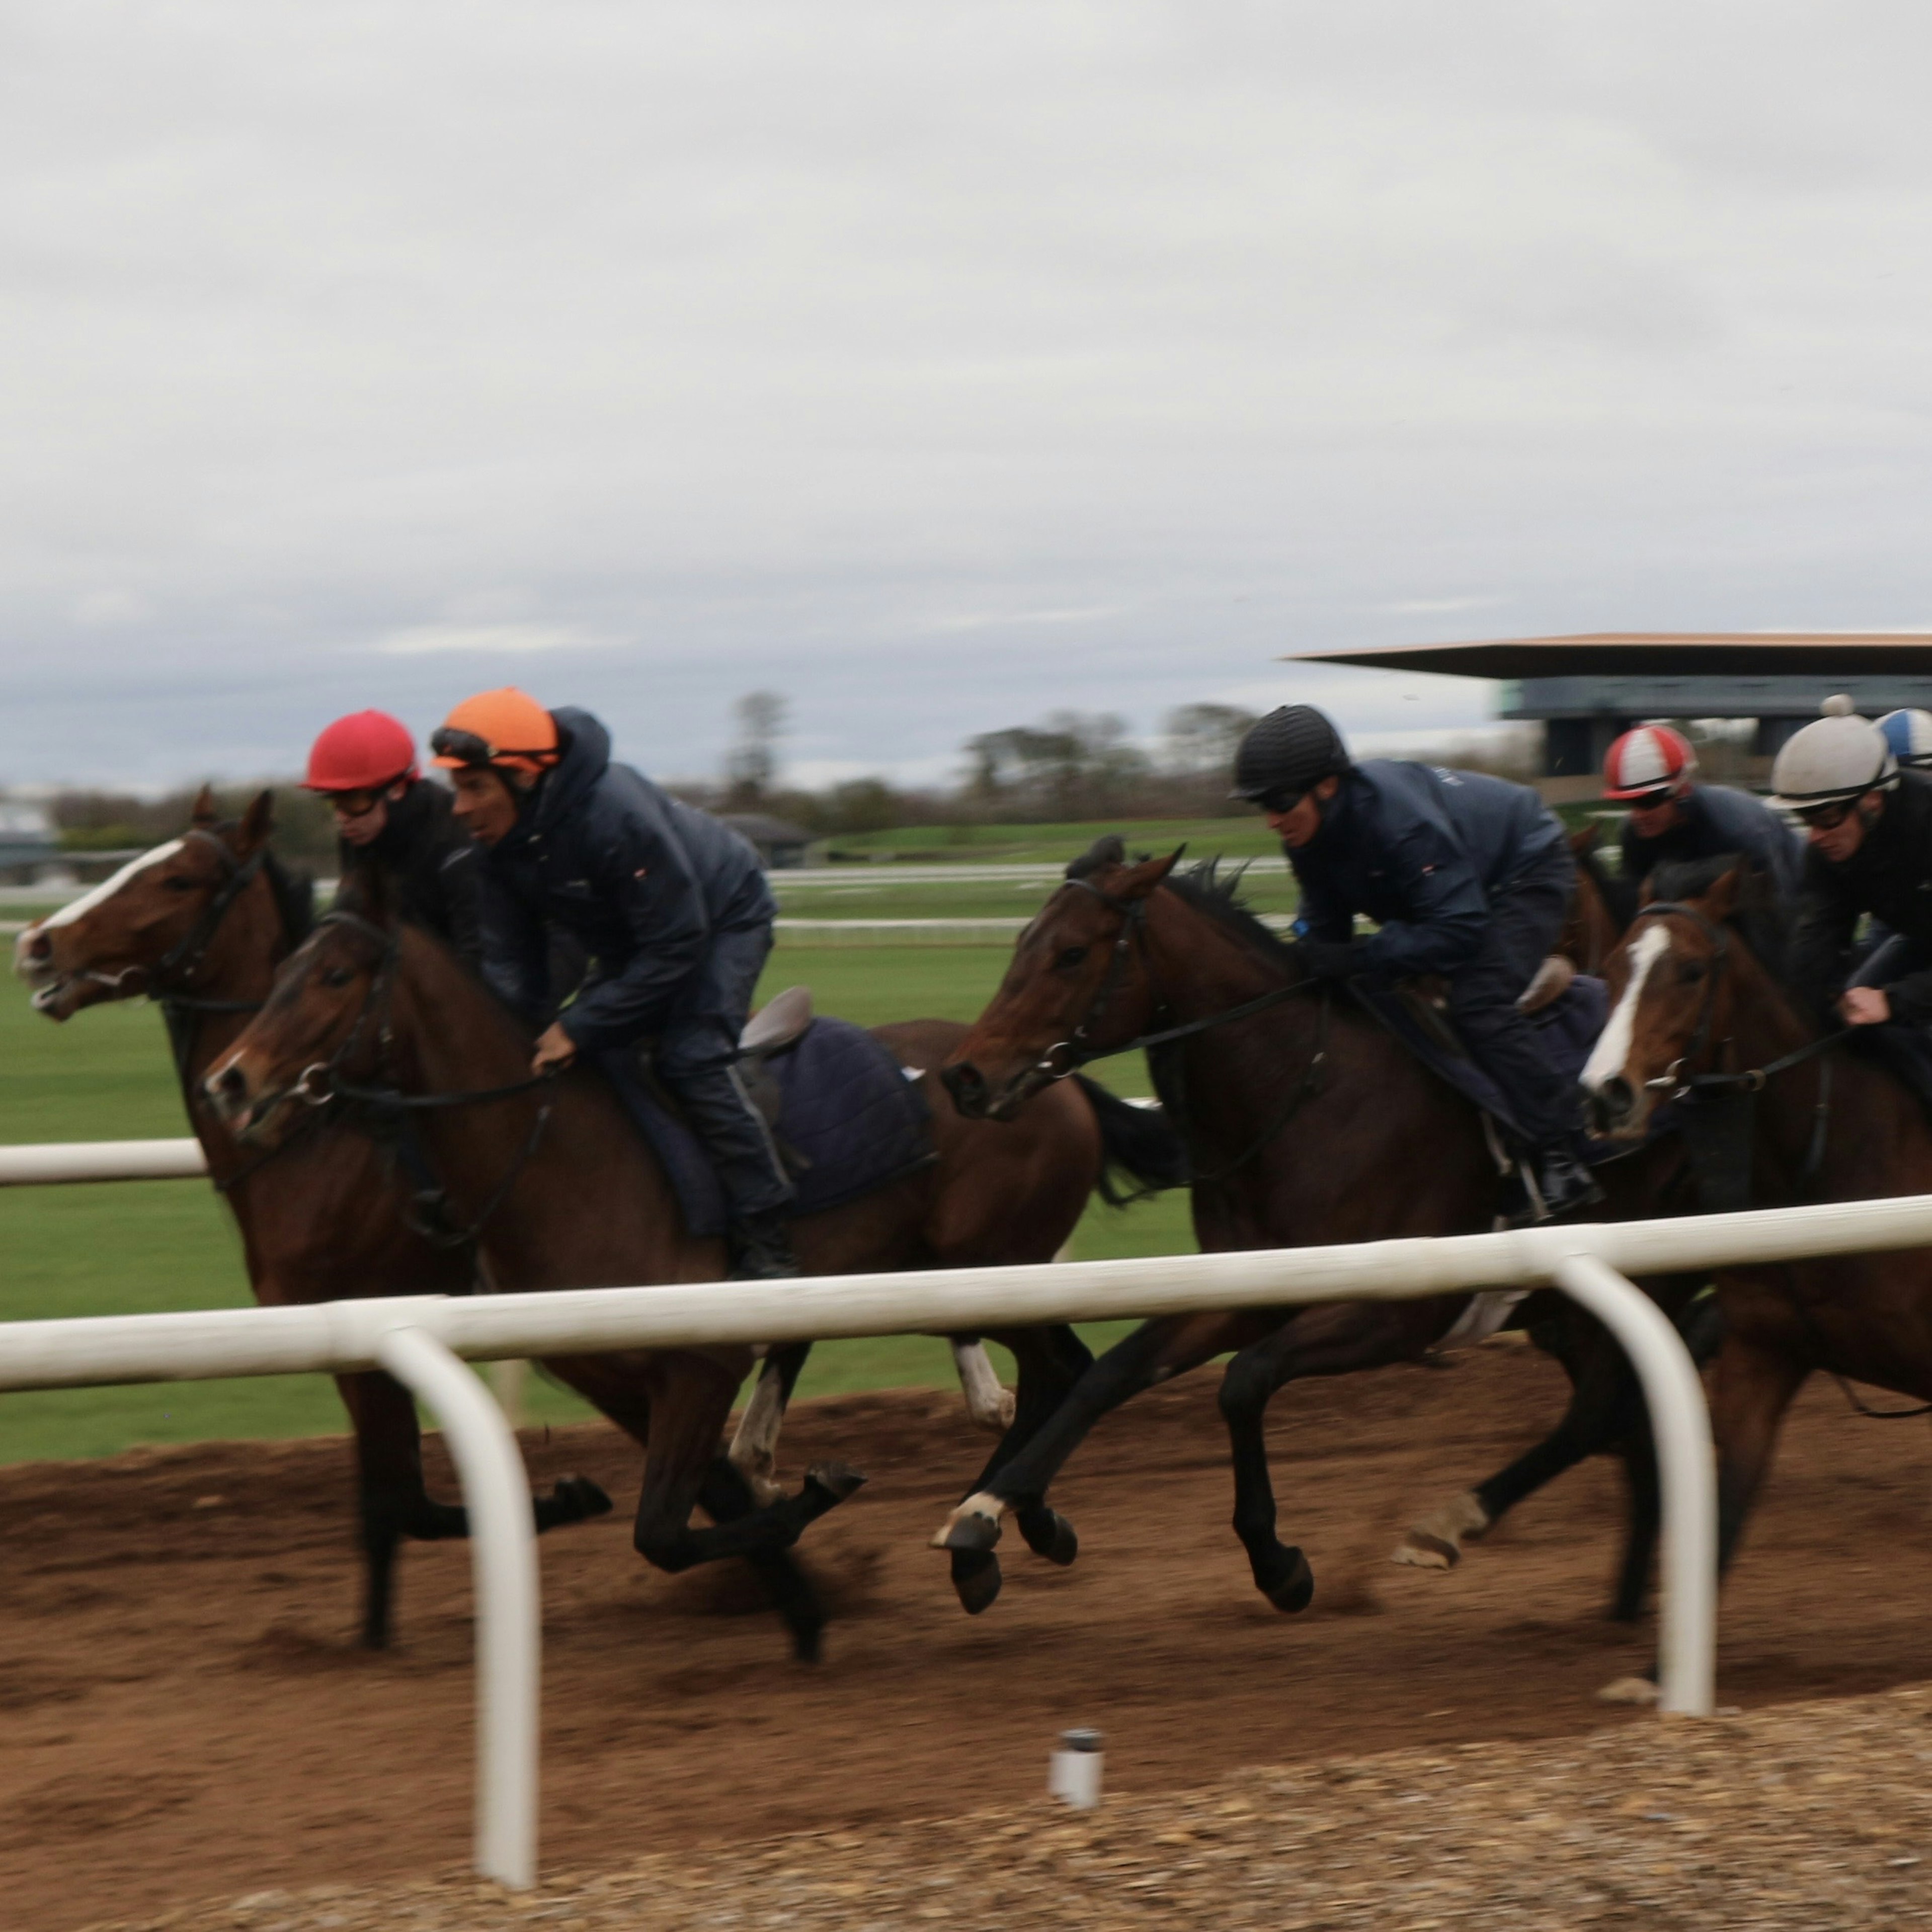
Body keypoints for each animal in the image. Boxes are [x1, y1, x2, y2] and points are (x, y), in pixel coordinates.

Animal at [11, 790, 611, 1649]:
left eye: (178, 879)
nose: (35, 943)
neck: (315, 1146)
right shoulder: (346, 1342)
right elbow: (387, 1505)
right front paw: (371, 1636)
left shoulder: (382, 1320)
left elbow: (405, 1503)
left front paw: (569, 1497)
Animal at [198, 865, 1181, 1656]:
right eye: (278, 973)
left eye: (333, 975)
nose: (230, 1079)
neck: (562, 1158)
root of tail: (1055, 1080)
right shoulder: (618, 1379)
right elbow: (697, 1508)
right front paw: (800, 1603)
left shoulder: (701, 1362)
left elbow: (665, 1532)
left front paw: (813, 1502)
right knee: (1058, 1372)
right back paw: (1007, 1522)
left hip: (990, 1265)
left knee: (1065, 1369)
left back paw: (997, 1526)